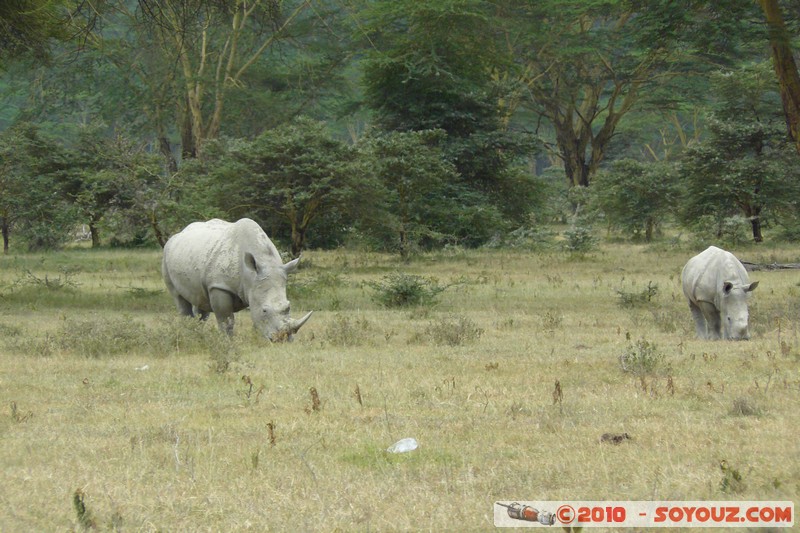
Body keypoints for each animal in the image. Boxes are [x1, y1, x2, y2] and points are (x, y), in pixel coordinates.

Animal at [162, 218, 312, 341]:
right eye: (264, 310)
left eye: (288, 306)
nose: (284, 339)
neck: (250, 276)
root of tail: (176, 236)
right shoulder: (219, 286)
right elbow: (226, 320)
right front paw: (227, 342)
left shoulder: (255, 288)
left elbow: (254, 318)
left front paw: (257, 340)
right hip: (166, 254)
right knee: (179, 298)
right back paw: (189, 336)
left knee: (200, 302)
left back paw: (198, 335)